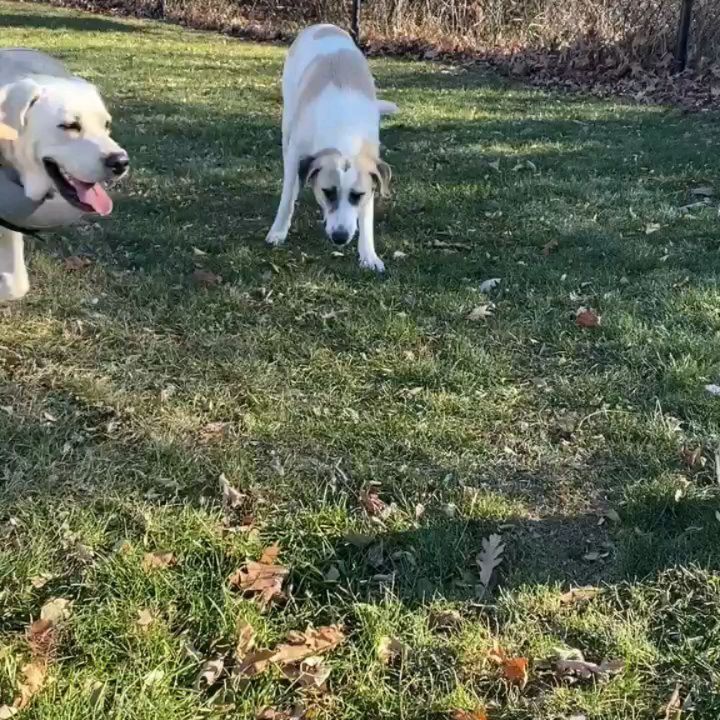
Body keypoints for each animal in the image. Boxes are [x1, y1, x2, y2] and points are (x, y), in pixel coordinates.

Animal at [266, 23, 396, 272]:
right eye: (328, 192)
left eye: (357, 195)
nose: (340, 237)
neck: (344, 133)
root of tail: (322, 25)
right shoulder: (296, 152)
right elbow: (287, 195)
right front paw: (278, 231)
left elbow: (366, 214)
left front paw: (369, 254)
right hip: (288, 121)